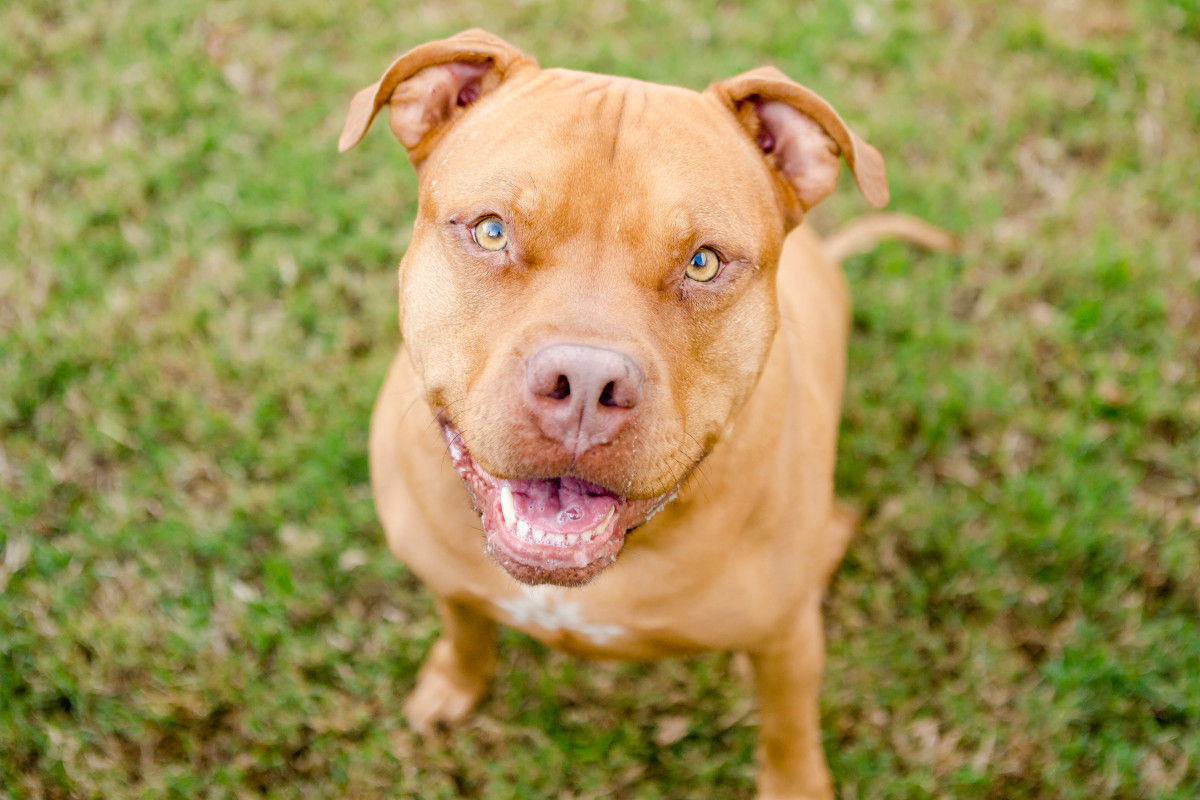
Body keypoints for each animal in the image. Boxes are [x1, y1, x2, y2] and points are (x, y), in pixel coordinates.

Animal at [338, 28, 945, 796]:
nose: (584, 383)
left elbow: (787, 729)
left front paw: (795, 783)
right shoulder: (447, 577)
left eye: (704, 263)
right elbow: (465, 625)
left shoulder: (787, 644)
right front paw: (452, 684)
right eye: (492, 231)